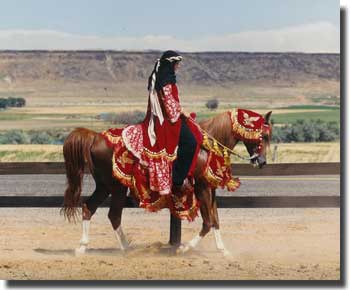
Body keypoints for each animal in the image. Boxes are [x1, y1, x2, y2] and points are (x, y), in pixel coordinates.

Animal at [61, 109, 272, 256]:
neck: (206, 147)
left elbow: (216, 220)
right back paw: (126, 248)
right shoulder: (202, 187)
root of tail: (95, 136)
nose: (262, 162)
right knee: (113, 215)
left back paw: (83, 248)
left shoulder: (210, 189)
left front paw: (223, 250)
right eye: (263, 135)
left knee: (89, 208)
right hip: (117, 187)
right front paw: (184, 248)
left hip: (104, 186)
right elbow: (208, 222)